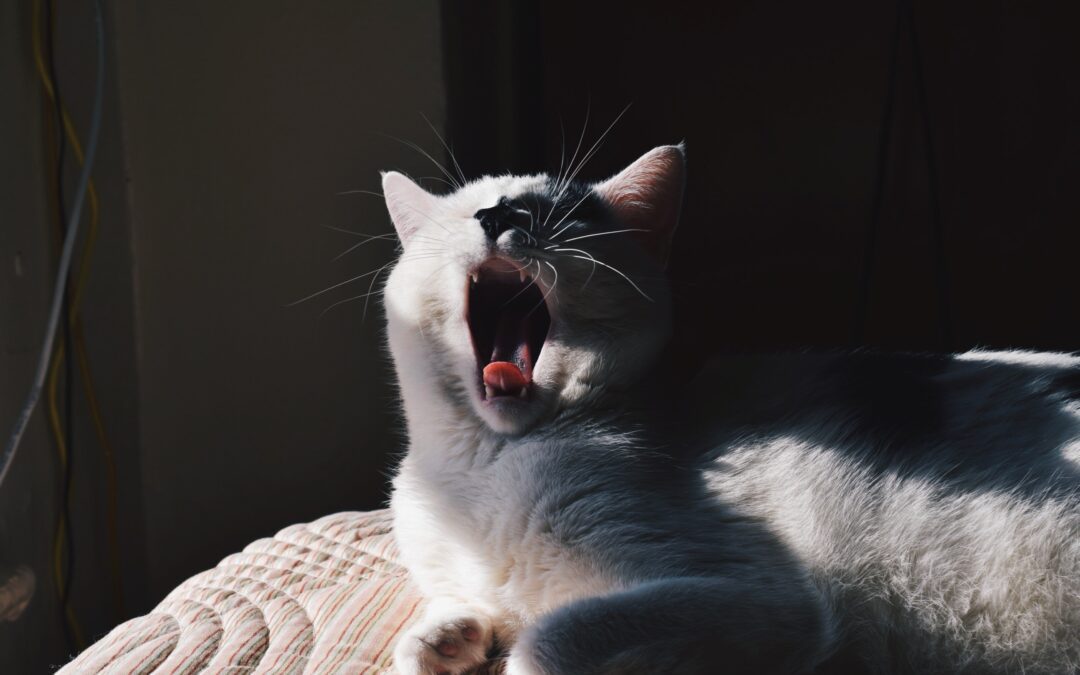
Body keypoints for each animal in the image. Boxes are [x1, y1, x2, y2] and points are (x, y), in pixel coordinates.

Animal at [382, 144, 1080, 669]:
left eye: (562, 213)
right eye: (470, 210)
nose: (497, 217)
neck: (484, 462)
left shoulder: (758, 597)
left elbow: (547, 637)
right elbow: (440, 623)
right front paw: (446, 638)